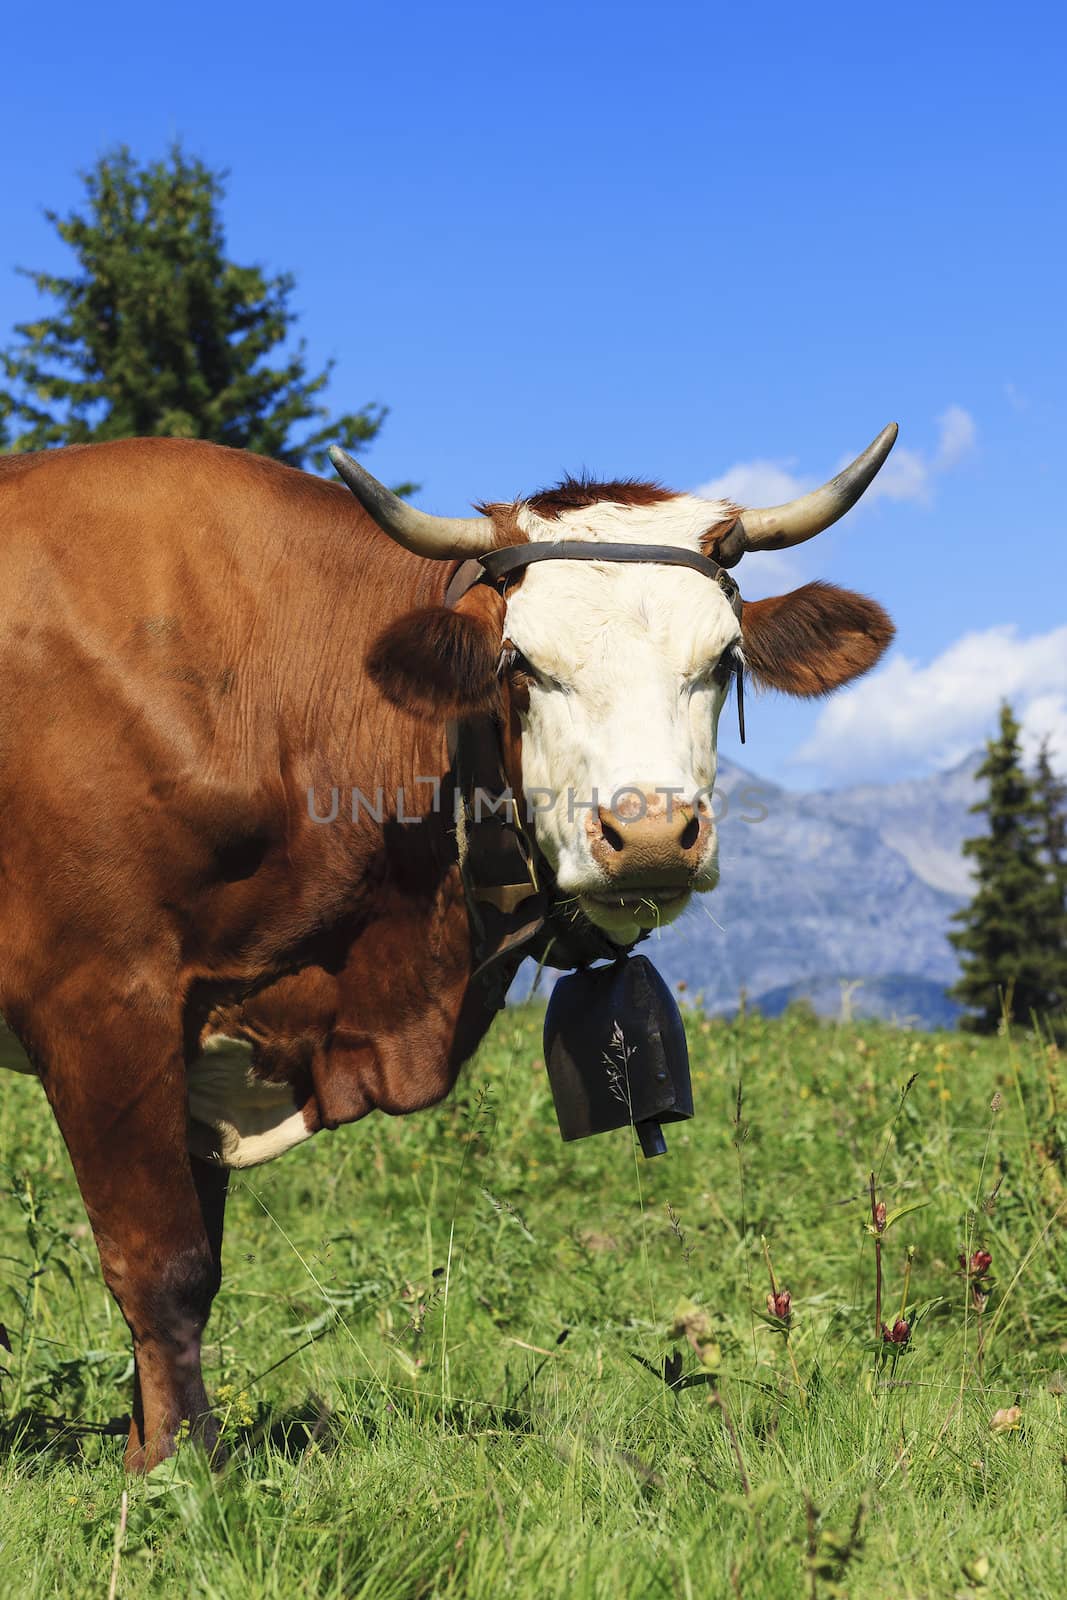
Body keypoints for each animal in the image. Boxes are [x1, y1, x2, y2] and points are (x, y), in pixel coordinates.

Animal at [0, 422, 895, 1465]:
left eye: (722, 660)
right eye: (521, 666)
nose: (648, 834)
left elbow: (199, 1265)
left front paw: (147, 1444)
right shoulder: (101, 996)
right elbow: (163, 1263)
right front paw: (183, 1468)